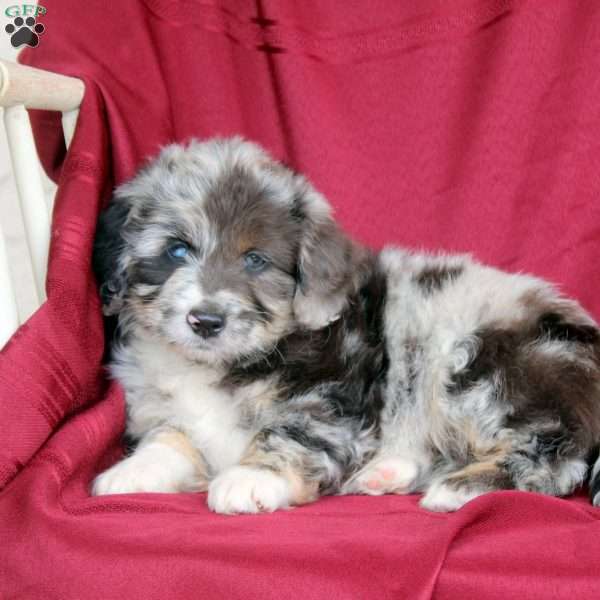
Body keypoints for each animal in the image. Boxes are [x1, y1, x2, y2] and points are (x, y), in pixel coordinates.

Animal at [91, 138, 600, 512]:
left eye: (256, 260)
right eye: (176, 251)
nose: (205, 321)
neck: (220, 364)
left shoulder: (331, 396)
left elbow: (294, 430)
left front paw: (252, 476)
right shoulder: (165, 407)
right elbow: (170, 437)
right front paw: (130, 471)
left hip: (485, 367)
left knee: (552, 454)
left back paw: (458, 489)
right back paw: (386, 474)